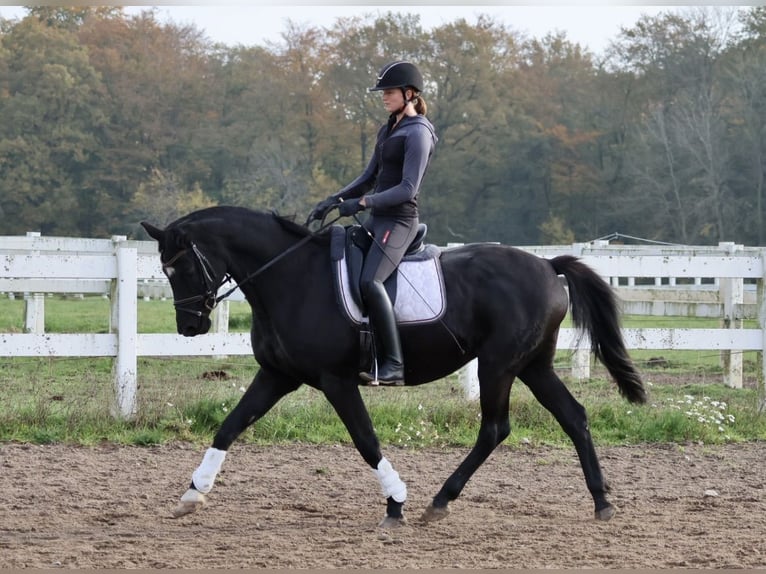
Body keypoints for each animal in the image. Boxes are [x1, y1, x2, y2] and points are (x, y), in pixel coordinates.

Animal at [141, 206, 644, 528]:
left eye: (182, 268)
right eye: (165, 271)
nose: (190, 326)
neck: (291, 277)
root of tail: (546, 264)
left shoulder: (337, 381)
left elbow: (366, 440)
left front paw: (396, 503)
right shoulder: (277, 376)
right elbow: (229, 426)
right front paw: (192, 494)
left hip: (498, 365)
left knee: (495, 428)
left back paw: (439, 501)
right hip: (532, 365)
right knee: (573, 416)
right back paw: (601, 501)